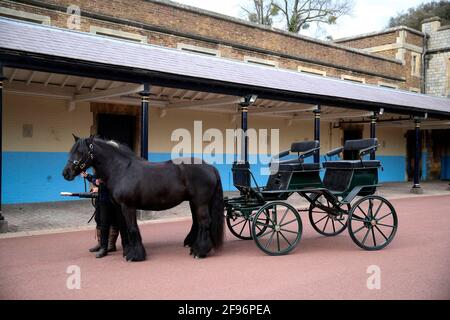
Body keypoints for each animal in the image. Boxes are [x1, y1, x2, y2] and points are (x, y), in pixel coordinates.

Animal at [62, 136, 224, 262]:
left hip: (200, 203)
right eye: (71, 151)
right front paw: (128, 252)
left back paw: (199, 252)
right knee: (198, 223)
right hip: (195, 202)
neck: (121, 169)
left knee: (204, 223)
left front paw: (135, 256)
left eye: (81, 152)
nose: (66, 173)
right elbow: (125, 229)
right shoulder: (120, 208)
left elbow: (132, 228)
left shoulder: (128, 206)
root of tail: (210, 167)